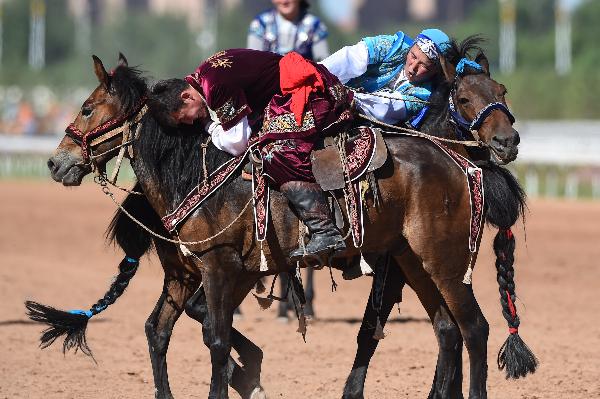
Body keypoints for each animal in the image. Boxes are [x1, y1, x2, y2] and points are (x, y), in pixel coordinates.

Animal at [27, 41, 536, 399]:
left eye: (87, 108)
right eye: (464, 96)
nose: (56, 162)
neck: (194, 172)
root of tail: (459, 162)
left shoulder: (220, 269)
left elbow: (215, 338)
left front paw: (245, 376)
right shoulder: (184, 273)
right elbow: (159, 332)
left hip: (443, 263)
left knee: (474, 328)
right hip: (415, 262)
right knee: (449, 329)